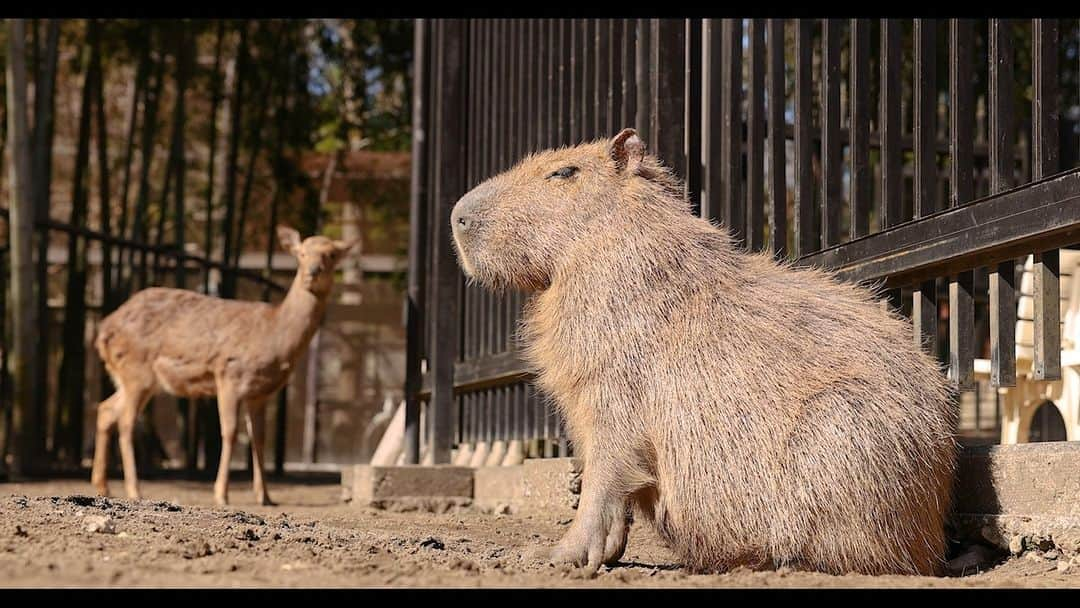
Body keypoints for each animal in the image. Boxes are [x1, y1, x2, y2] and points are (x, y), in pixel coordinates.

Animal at [91, 225, 354, 507]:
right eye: (301, 253)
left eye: (332, 254)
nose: (312, 272)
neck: (273, 336)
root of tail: (103, 330)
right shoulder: (230, 376)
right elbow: (229, 432)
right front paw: (221, 494)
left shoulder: (261, 393)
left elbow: (259, 438)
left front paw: (265, 496)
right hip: (137, 370)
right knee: (126, 422)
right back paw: (134, 490)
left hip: (132, 377)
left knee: (106, 409)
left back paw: (103, 486)